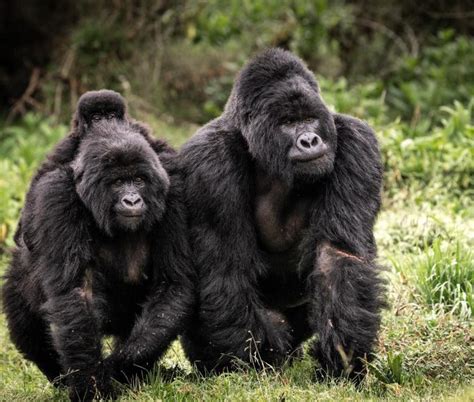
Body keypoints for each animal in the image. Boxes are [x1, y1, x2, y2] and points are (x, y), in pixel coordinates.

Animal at [2, 89, 194, 400]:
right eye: (117, 183)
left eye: (138, 180)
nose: (132, 200)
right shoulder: (59, 195)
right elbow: (78, 294)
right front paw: (92, 386)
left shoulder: (174, 188)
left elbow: (172, 283)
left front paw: (120, 367)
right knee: (26, 324)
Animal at [180, 49, 386, 380]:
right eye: (288, 123)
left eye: (310, 119)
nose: (310, 140)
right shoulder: (208, 163)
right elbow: (226, 268)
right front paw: (258, 361)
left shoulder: (357, 143)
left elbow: (337, 256)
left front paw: (343, 359)